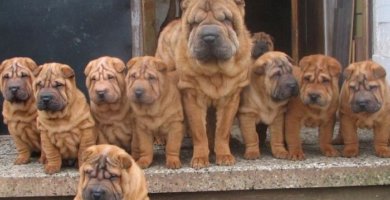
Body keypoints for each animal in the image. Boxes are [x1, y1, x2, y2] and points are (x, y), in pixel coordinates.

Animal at [175, 0, 251, 169]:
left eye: (226, 19)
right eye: (195, 22)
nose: (209, 36)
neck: (215, 72)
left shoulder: (230, 99)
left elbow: (222, 130)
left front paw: (224, 156)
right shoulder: (192, 97)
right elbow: (199, 131)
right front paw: (200, 158)